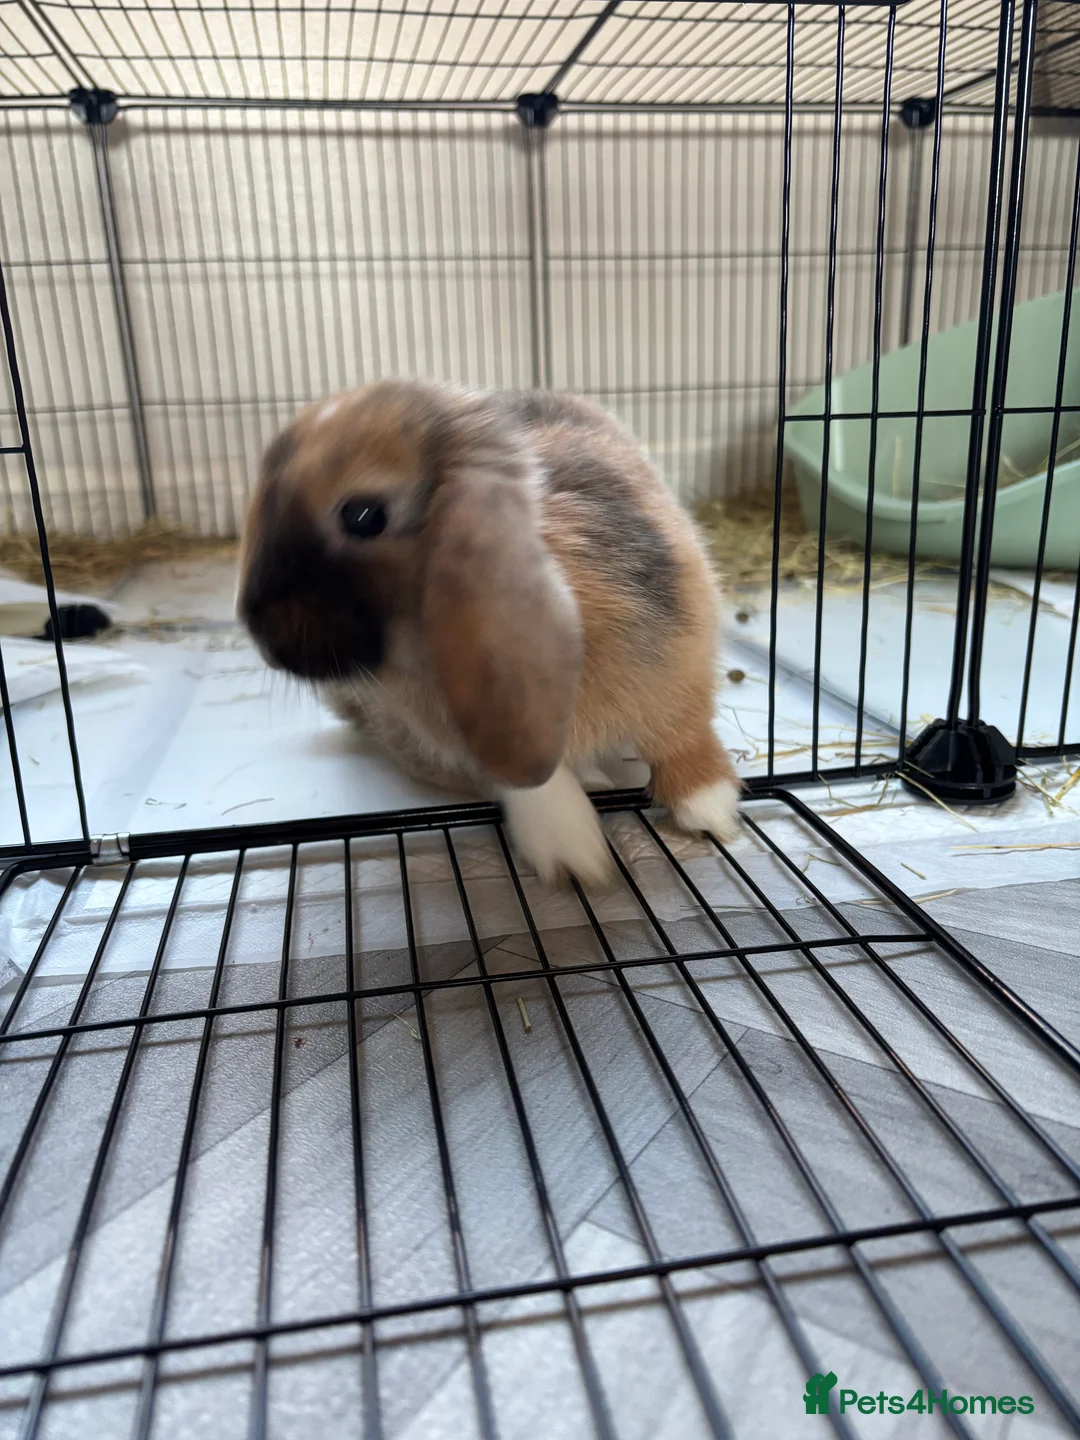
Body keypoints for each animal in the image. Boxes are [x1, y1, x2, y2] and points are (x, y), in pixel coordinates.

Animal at [237, 380, 741, 885]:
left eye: (362, 515)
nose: (266, 642)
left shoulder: (678, 659)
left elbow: (683, 734)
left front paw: (710, 809)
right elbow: (535, 783)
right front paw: (573, 853)